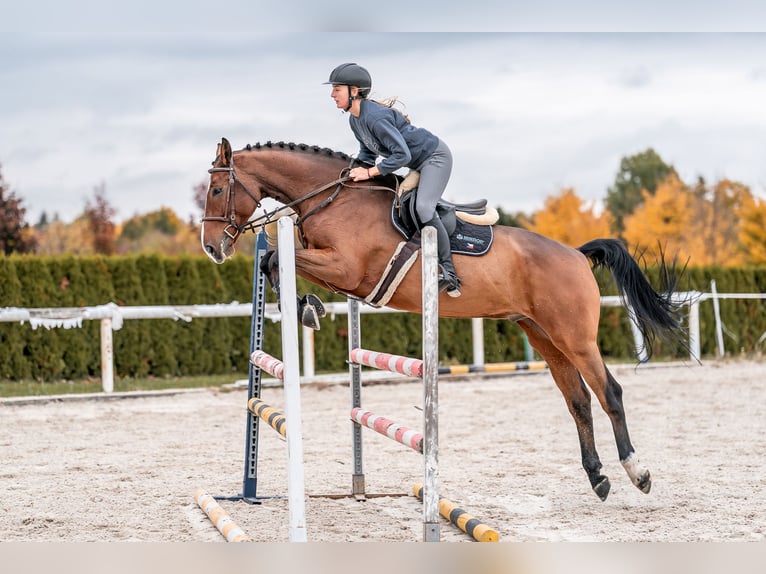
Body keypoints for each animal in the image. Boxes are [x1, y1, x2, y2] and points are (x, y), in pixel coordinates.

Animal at [201, 137, 686, 502]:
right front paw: (307, 306)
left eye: (217, 191)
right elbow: (274, 265)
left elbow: (275, 260)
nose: (211, 248)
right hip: (545, 337)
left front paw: (304, 308)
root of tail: (576, 254)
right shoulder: (340, 274)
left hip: (575, 337)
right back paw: (598, 478)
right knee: (579, 400)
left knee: (610, 393)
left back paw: (637, 472)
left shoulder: (348, 268)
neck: (333, 198)